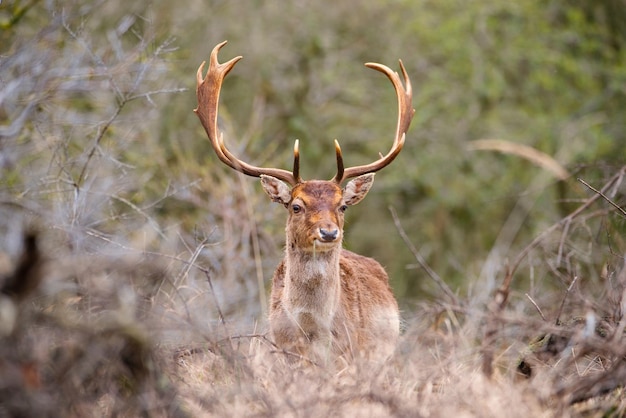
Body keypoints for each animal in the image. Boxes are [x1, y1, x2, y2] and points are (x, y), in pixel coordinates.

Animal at [193, 40, 412, 364]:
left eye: (342, 206)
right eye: (296, 206)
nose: (329, 232)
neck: (312, 332)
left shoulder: (350, 355)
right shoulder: (280, 350)